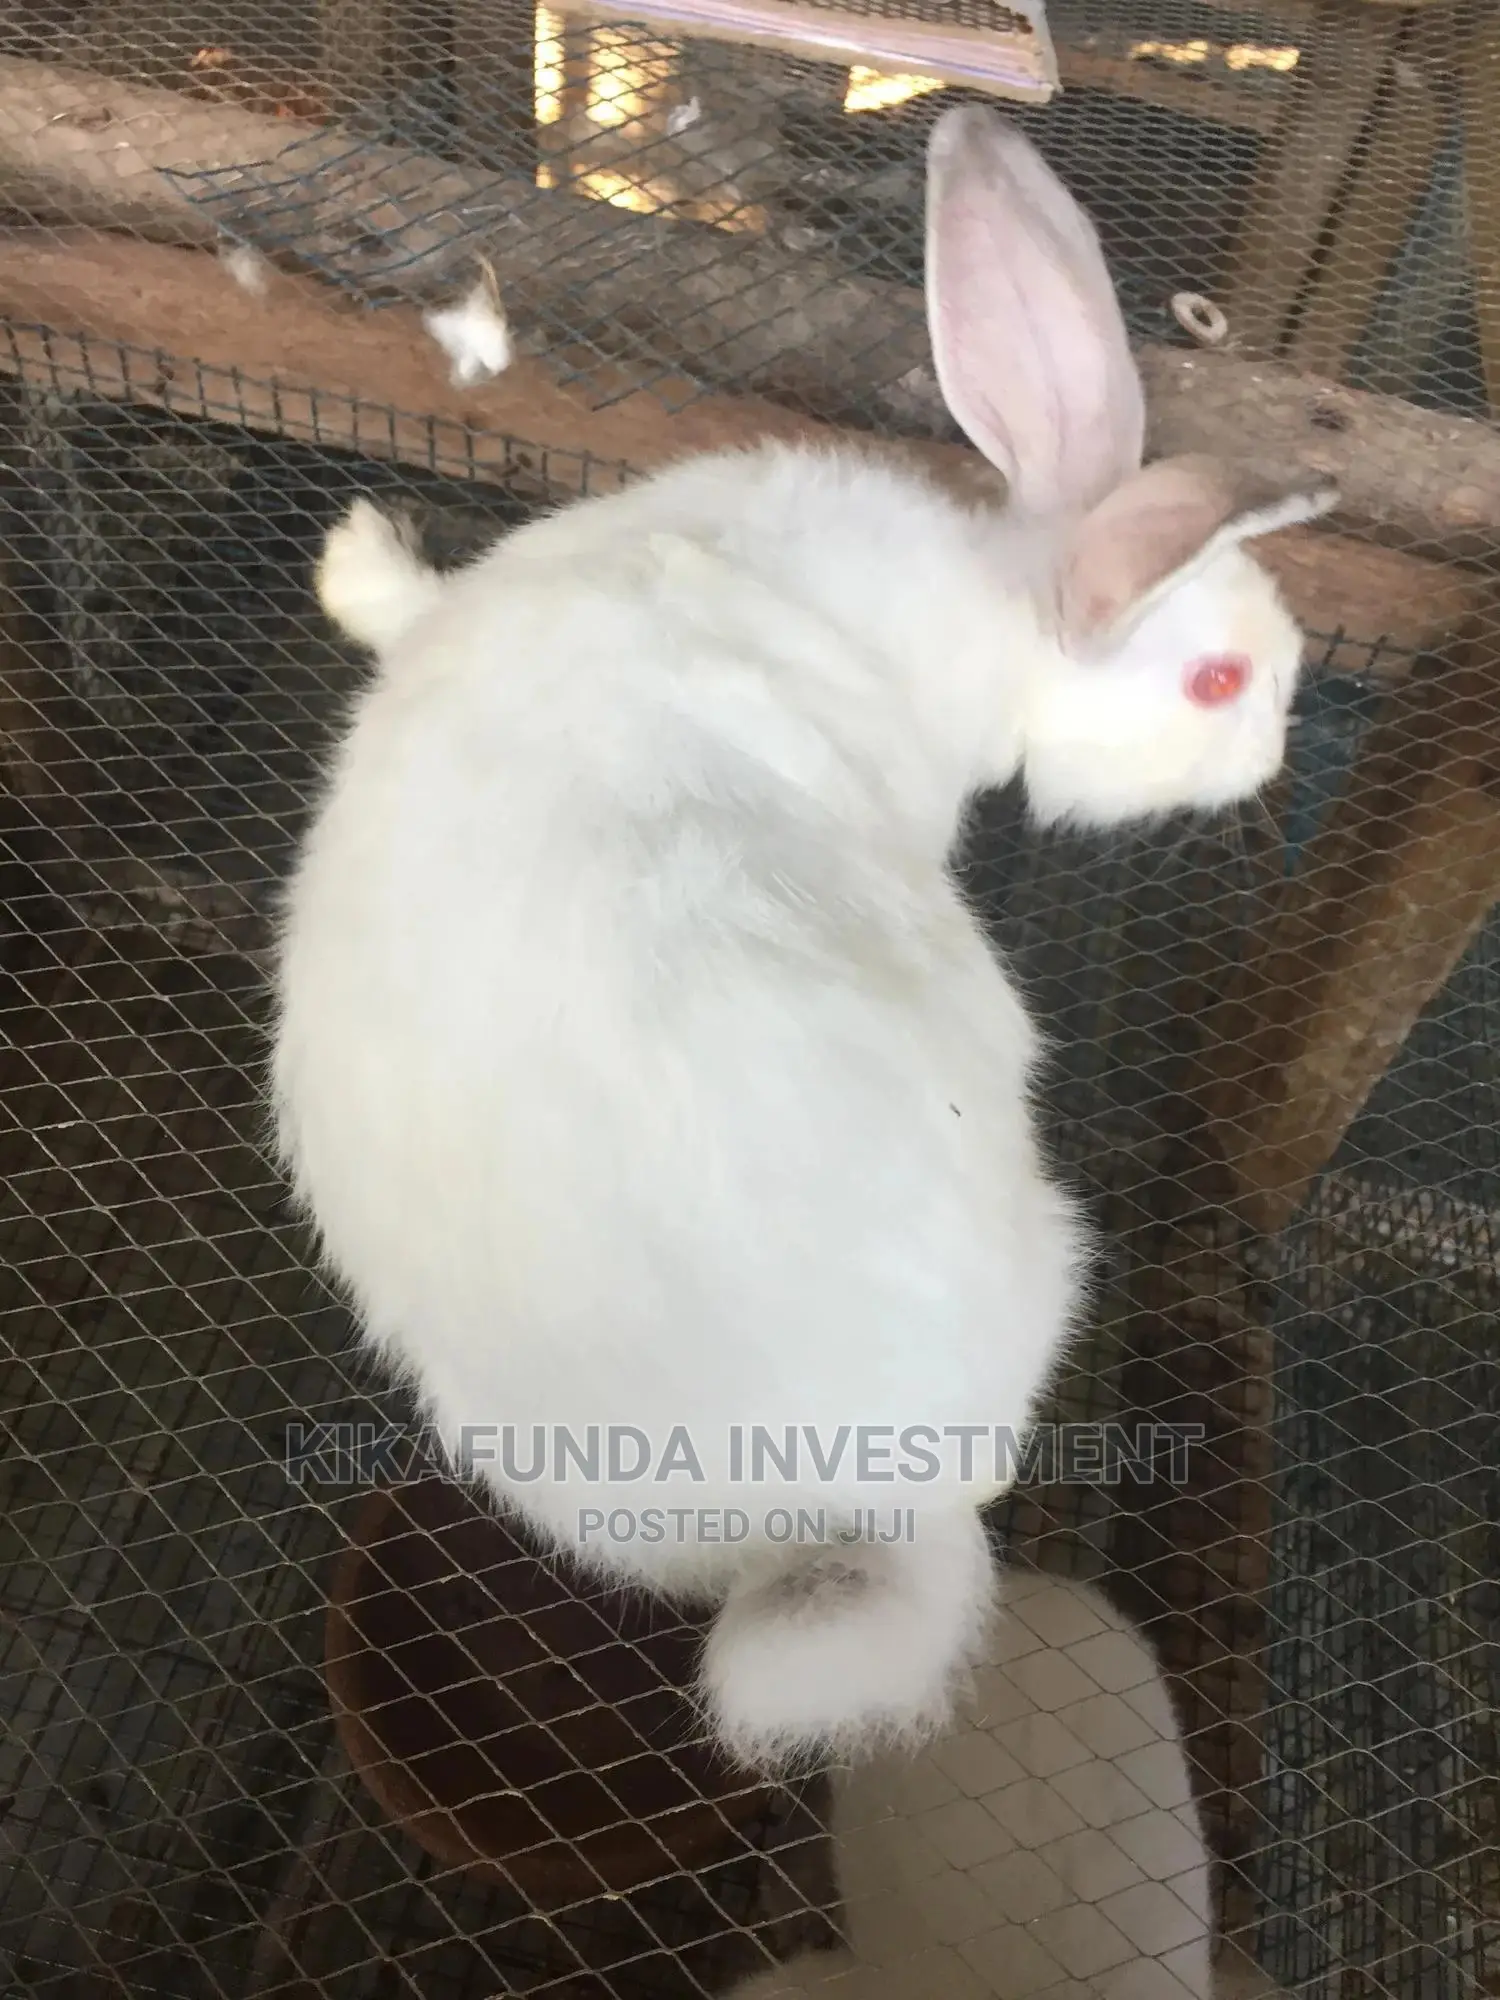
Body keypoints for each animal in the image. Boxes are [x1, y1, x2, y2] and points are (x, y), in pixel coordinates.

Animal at [271, 105, 1335, 1772]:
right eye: (1223, 682)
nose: (1279, 752)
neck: (996, 599)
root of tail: (861, 1501)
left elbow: (405, 607)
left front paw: (359, 553)